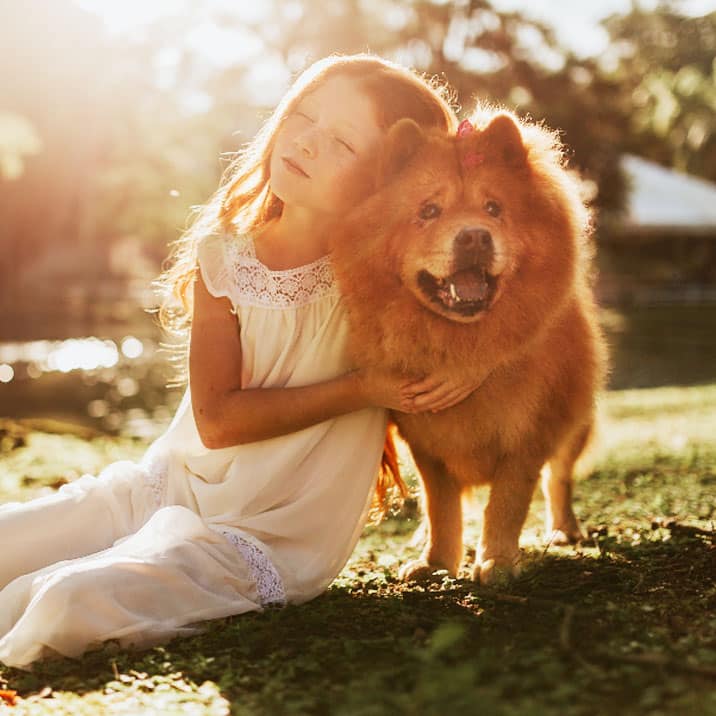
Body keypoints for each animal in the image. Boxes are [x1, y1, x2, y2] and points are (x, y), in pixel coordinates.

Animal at [332, 107, 608, 588]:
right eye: (429, 211)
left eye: (494, 208)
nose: (475, 236)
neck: (461, 341)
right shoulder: (426, 441)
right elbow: (441, 506)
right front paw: (437, 562)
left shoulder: (529, 434)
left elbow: (508, 502)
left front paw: (497, 561)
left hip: (574, 419)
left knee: (560, 478)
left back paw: (564, 531)